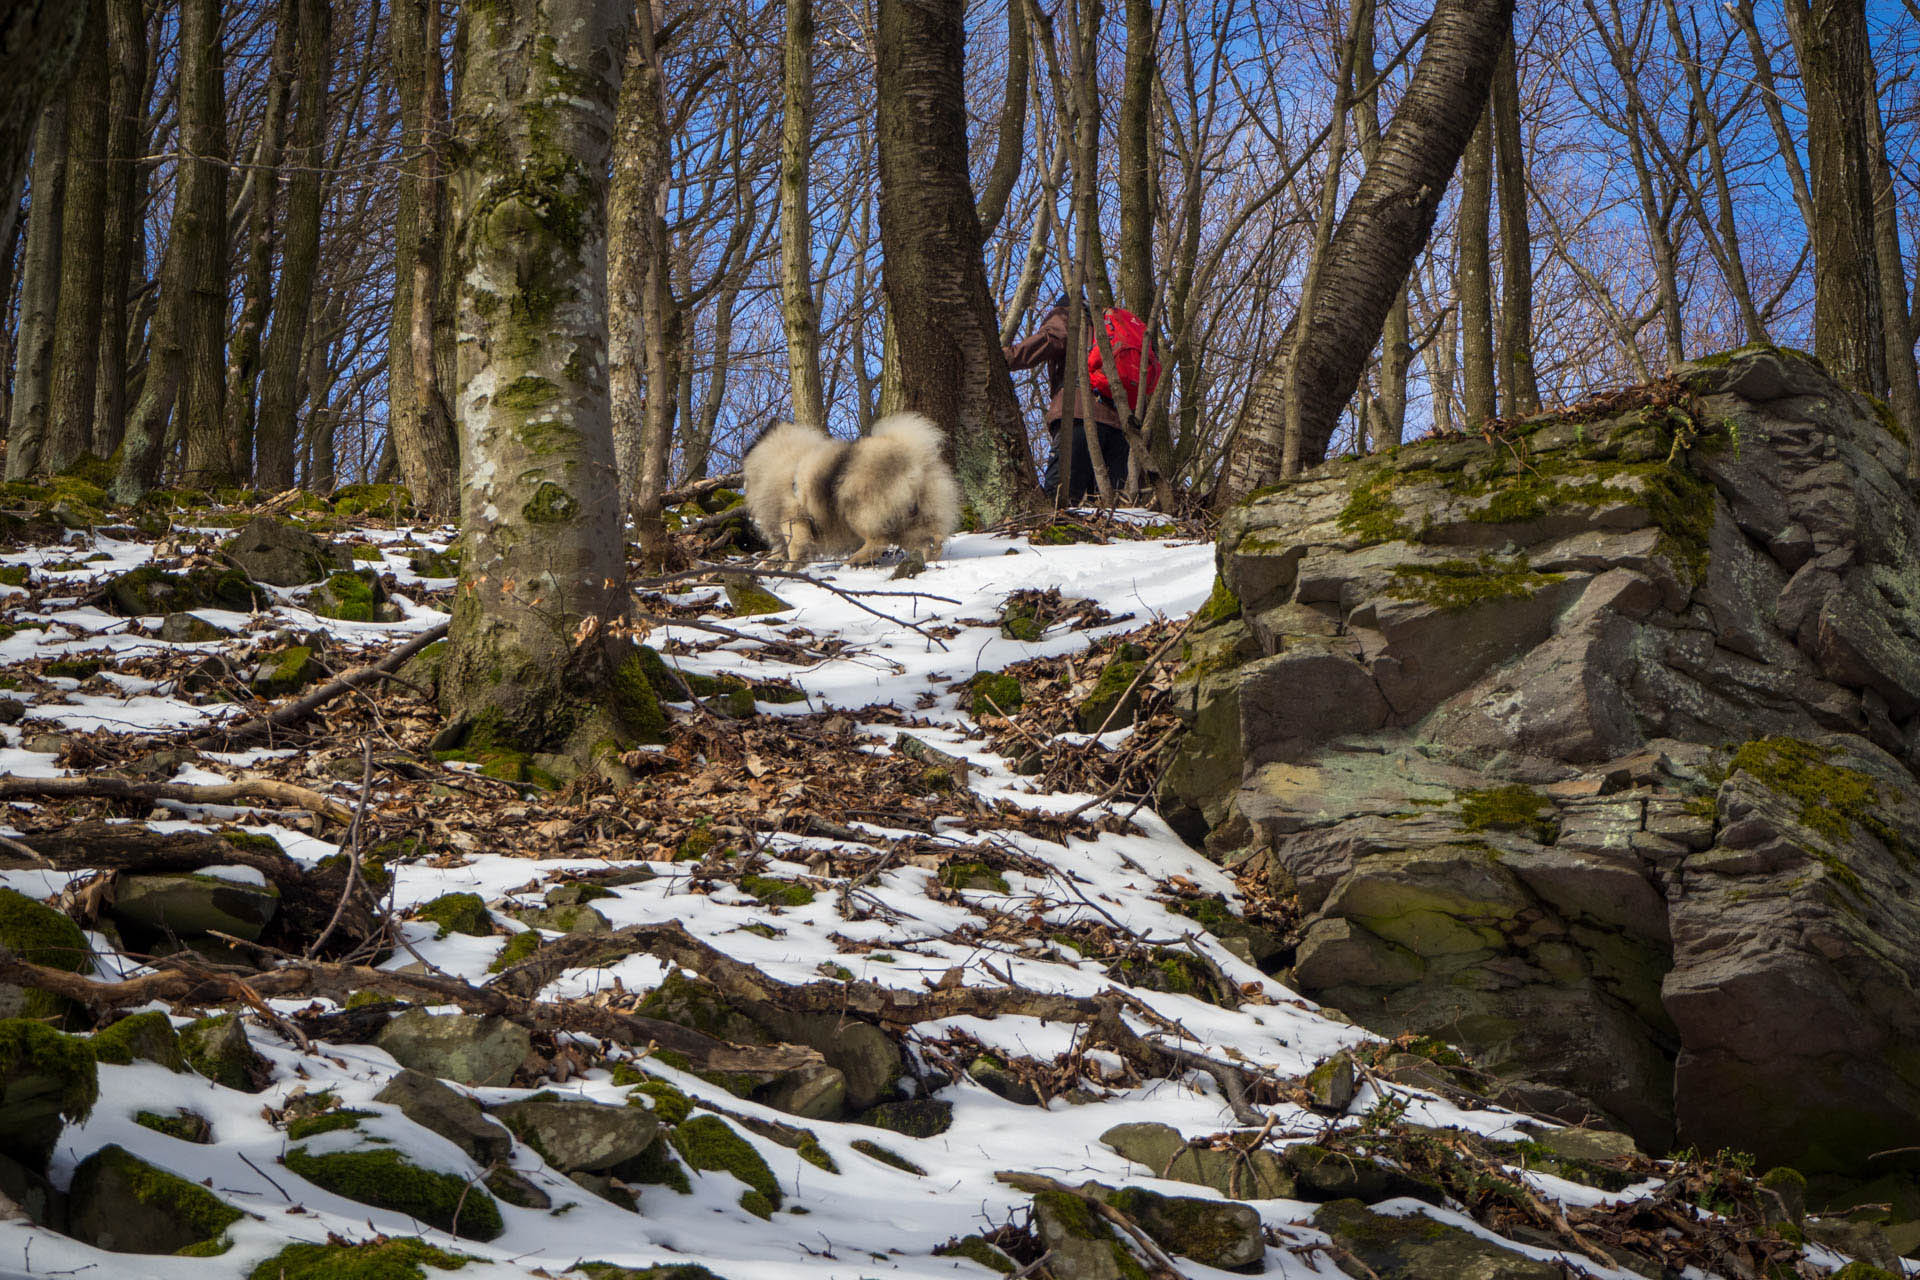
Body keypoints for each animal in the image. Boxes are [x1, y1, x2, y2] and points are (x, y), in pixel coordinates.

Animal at [744, 412, 960, 568]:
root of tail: (911, 456)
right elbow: (777, 552)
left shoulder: (792, 519)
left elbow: (795, 548)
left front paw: (790, 569)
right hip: (913, 521)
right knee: (932, 540)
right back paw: (925, 558)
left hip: (857, 509)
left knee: (878, 541)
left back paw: (854, 560)